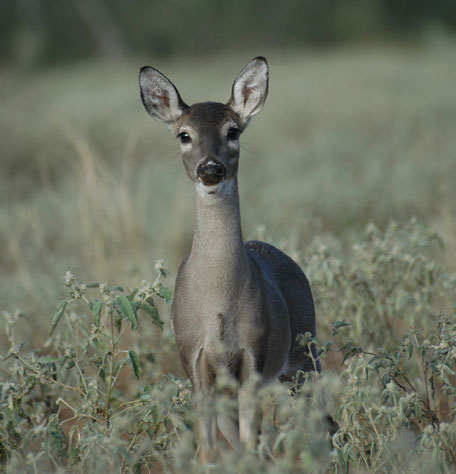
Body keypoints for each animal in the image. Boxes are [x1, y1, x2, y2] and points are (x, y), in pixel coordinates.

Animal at [139, 57, 320, 462]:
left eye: (233, 130)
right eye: (184, 134)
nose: (210, 169)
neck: (218, 304)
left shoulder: (254, 358)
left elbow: (252, 447)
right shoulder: (195, 365)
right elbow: (209, 453)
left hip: (305, 353)